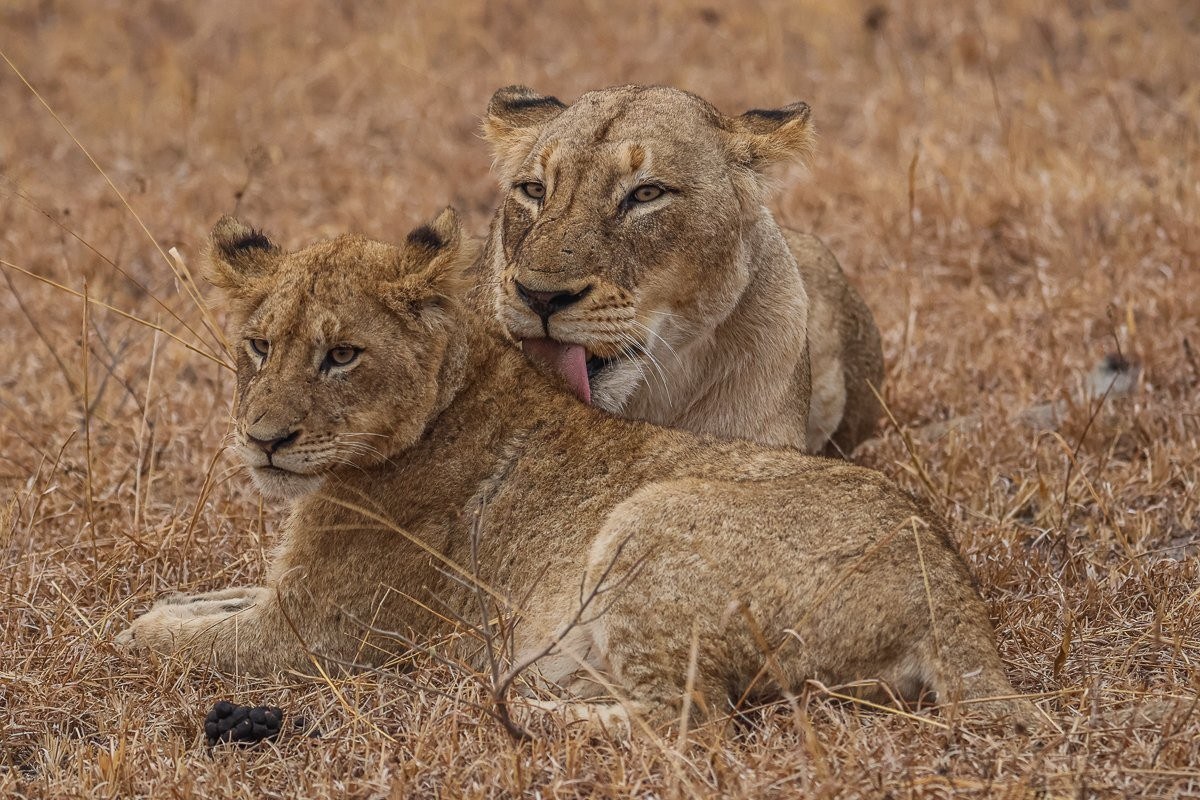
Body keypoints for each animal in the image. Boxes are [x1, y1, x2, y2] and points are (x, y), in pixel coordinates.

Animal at [116, 212, 1036, 735]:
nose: (262, 440)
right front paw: (159, 608)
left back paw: (518, 706)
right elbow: (197, 601)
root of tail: (949, 583)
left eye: (341, 355)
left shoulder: (318, 637)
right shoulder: (283, 596)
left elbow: (173, 640)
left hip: (648, 517)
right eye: (258, 345)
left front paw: (130, 634)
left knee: (690, 722)